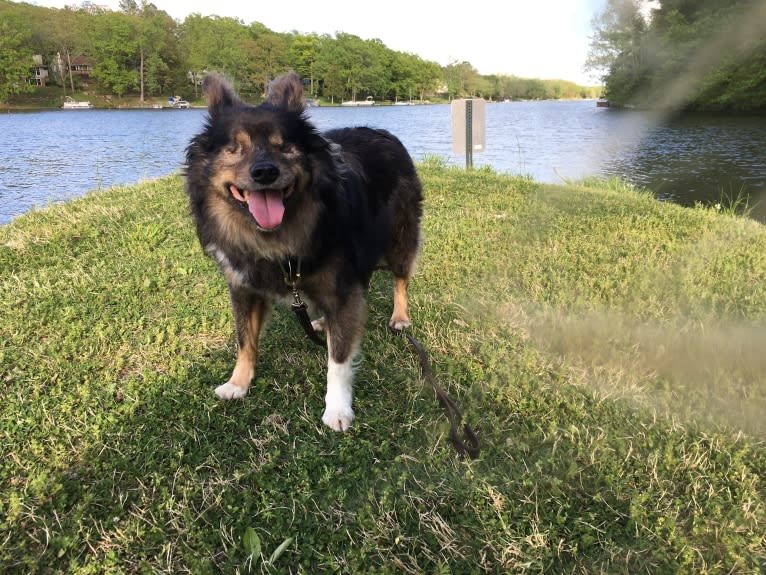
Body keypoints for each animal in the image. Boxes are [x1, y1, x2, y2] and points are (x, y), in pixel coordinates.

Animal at [186, 72, 426, 432]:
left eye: (284, 145)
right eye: (234, 148)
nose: (265, 172)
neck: (275, 238)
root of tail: (384, 133)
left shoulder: (341, 287)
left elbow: (338, 358)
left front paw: (337, 408)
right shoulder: (243, 288)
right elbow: (245, 340)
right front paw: (238, 383)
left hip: (399, 238)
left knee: (400, 279)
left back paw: (399, 317)